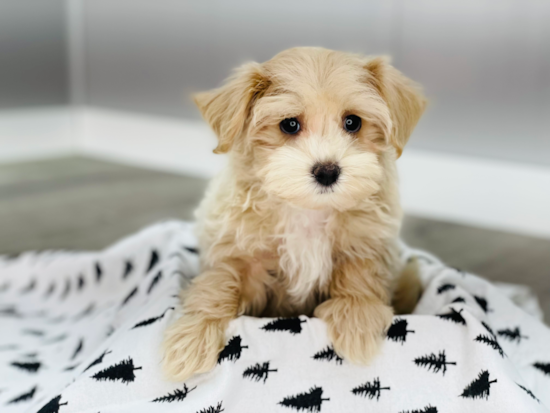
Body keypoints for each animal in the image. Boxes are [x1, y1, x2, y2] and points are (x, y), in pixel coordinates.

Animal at [163, 45, 426, 380]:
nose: (327, 171)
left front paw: (356, 322)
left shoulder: (365, 243)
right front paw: (192, 337)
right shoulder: (240, 256)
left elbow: (359, 277)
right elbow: (218, 284)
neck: (306, 208)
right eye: (289, 124)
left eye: (353, 122)